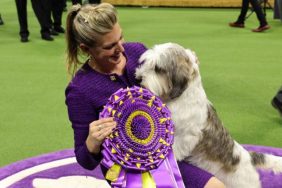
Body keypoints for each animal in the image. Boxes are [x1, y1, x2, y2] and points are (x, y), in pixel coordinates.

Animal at [135, 43, 282, 188]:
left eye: (158, 68)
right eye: (146, 62)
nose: (138, 78)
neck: (181, 99)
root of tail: (249, 157)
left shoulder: (187, 136)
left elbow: (175, 148)